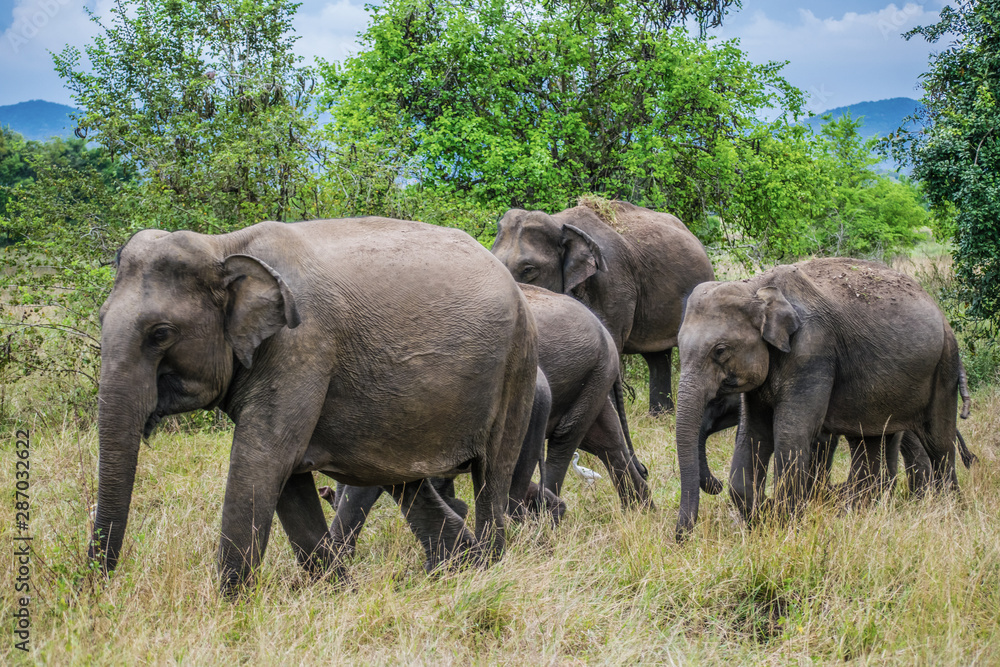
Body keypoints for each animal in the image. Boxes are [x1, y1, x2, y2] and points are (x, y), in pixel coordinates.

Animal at [90, 217, 538, 594]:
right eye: (100, 317)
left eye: (161, 334)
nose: (97, 596)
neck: (225, 245)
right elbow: (287, 482)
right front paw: (339, 594)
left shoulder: (301, 346)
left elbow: (263, 461)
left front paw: (229, 611)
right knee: (405, 480)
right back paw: (460, 569)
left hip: (517, 367)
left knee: (492, 476)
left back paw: (488, 571)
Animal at [323, 284, 653, 558]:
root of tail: (603, 329)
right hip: (594, 377)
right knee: (605, 442)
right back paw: (640, 512)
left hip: (589, 374)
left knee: (565, 440)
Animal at [491, 199, 714, 414]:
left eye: (528, 269)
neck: (560, 223)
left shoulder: (613, 283)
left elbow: (611, 343)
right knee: (658, 357)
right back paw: (659, 415)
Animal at [673, 257, 966, 539]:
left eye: (720, 350)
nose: (681, 538)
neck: (756, 287)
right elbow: (755, 433)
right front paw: (765, 518)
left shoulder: (813, 351)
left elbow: (791, 432)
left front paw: (785, 525)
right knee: (870, 440)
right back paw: (861, 512)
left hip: (945, 364)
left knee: (938, 442)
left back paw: (946, 510)